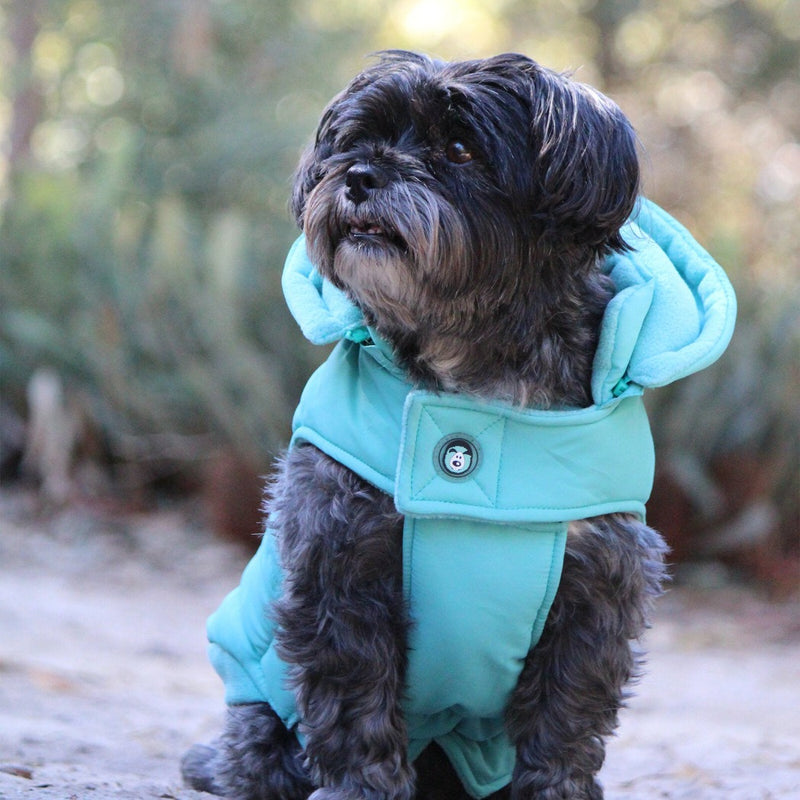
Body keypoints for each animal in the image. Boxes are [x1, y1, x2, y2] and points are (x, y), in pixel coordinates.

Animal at [180, 51, 668, 800]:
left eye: (461, 149)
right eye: (357, 140)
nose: (359, 176)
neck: (475, 377)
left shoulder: (597, 592)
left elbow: (566, 720)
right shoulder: (340, 566)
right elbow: (355, 708)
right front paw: (360, 789)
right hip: (260, 709)